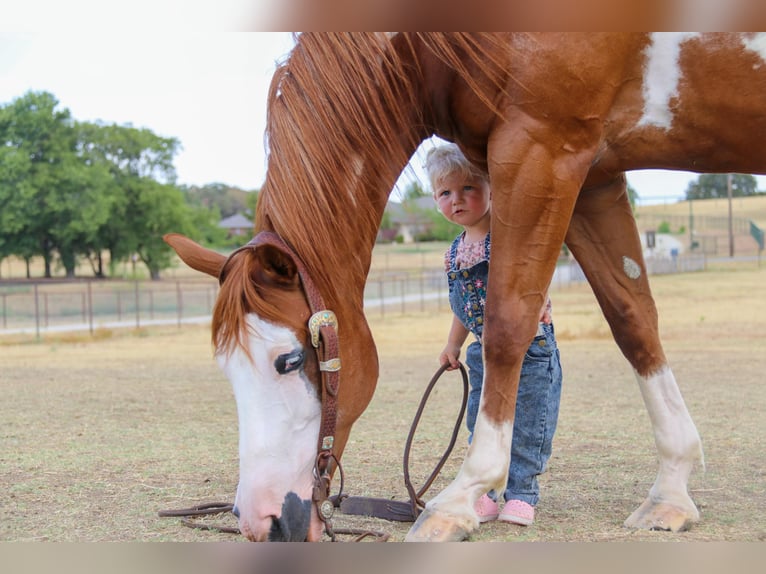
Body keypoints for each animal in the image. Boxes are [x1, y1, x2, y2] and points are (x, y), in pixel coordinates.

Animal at [164, 33, 766, 544]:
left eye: (288, 361)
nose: (260, 522)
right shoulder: (595, 173)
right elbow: (633, 319)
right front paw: (671, 492)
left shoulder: (542, 151)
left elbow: (506, 323)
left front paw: (459, 498)